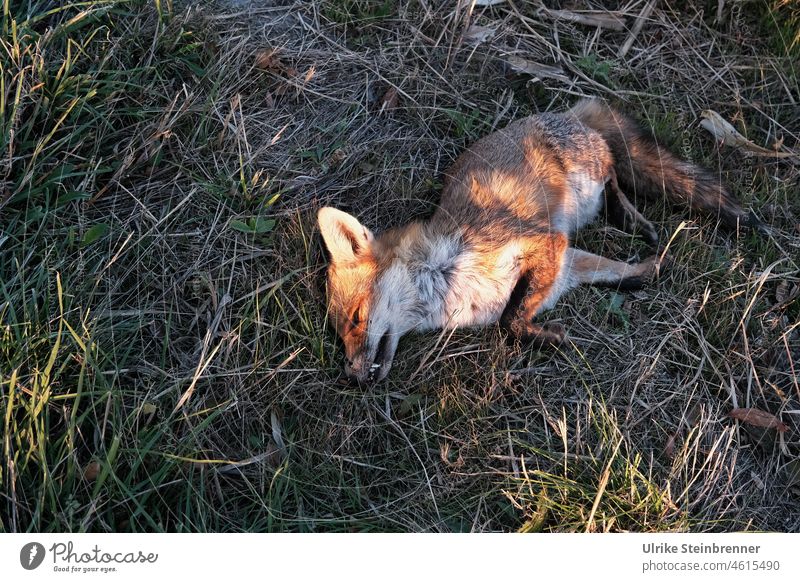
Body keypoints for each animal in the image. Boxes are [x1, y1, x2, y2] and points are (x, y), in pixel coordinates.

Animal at [318, 98, 756, 386]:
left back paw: (629, 216)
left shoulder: (544, 243)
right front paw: (648, 271)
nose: (353, 375)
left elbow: (510, 322)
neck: (449, 281)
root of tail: (567, 112)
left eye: (356, 318)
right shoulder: (564, 266)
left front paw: (546, 338)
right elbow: (618, 273)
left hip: (587, 177)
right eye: (339, 336)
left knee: (615, 172)